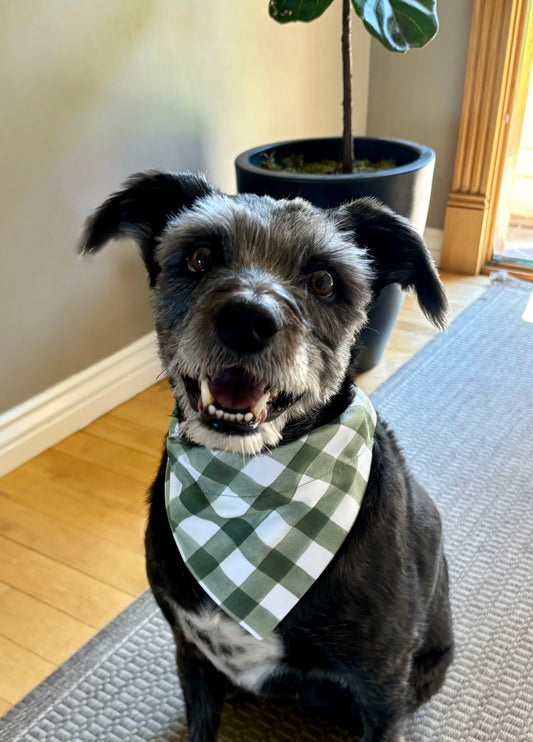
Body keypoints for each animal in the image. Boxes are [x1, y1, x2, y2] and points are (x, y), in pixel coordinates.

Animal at [79, 171, 454, 740]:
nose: (246, 320)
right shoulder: (191, 649)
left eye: (324, 281)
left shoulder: (383, 684)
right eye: (199, 257)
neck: (246, 487)